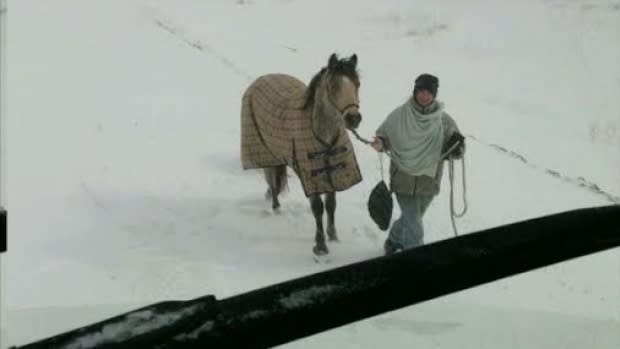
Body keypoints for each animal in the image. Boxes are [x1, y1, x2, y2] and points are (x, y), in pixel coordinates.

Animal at [239, 53, 364, 256]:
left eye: (357, 83)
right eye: (333, 86)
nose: (354, 118)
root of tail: (261, 79)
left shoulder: (333, 173)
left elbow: (331, 204)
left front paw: (333, 236)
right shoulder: (310, 174)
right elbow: (318, 208)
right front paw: (320, 246)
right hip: (267, 152)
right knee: (272, 180)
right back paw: (276, 208)